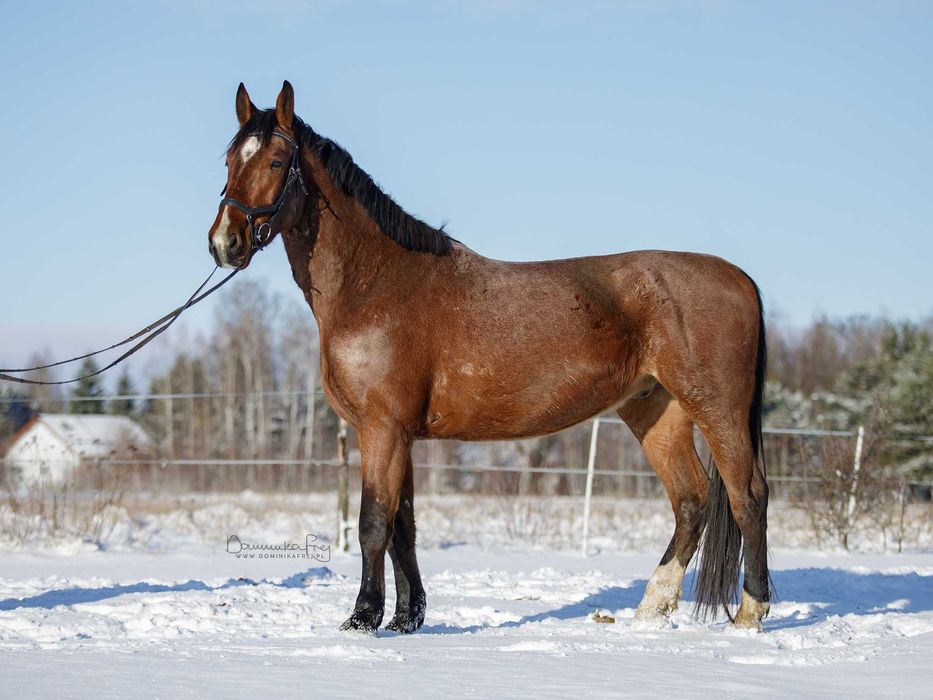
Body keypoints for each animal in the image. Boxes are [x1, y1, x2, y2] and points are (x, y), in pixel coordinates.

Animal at [209, 82, 772, 636]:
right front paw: (407, 619)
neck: (376, 284)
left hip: (718, 410)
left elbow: (373, 523)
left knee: (748, 497)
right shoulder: (400, 435)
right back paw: (651, 609)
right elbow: (403, 527)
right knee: (692, 501)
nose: (224, 243)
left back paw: (750, 612)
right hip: (655, 410)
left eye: (277, 161)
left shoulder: (381, 428)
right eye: (230, 160)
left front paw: (363, 618)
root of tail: (741, 278)